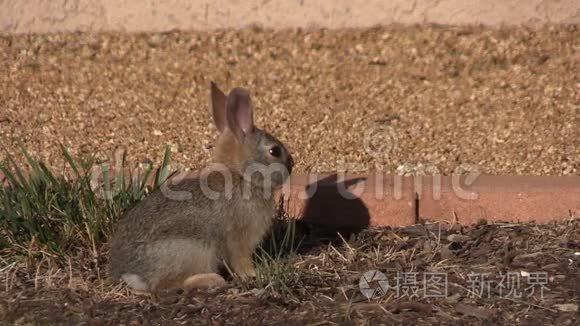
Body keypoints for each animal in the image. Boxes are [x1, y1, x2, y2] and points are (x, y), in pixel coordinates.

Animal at [108, 82, 292, 292]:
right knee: (168, 284)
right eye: (274, 151)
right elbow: (241, 260)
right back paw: (213, 280)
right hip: (195, 250)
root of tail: (133, 274)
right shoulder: (240, 237)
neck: (241, 176)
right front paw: (253, 274)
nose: (292, 165)